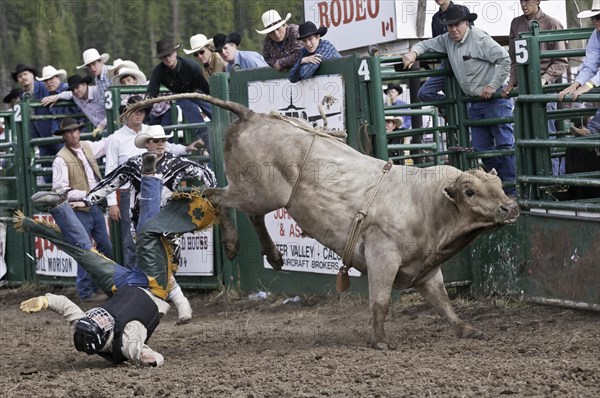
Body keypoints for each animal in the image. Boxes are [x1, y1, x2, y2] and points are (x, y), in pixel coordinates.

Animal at [127, 93, 520, 348]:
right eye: (470, 192)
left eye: (499, 184)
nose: (510, 208)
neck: (430, 204)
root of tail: (253, 115)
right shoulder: (382, 255)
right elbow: (381, 301)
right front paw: (380, 341)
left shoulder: (425, 270)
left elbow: (443, 304)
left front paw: (467, 330)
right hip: (258, 190)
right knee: (215, 197)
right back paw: (233, 243)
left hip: (260, 193)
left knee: (249, 212)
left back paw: (274, 255)